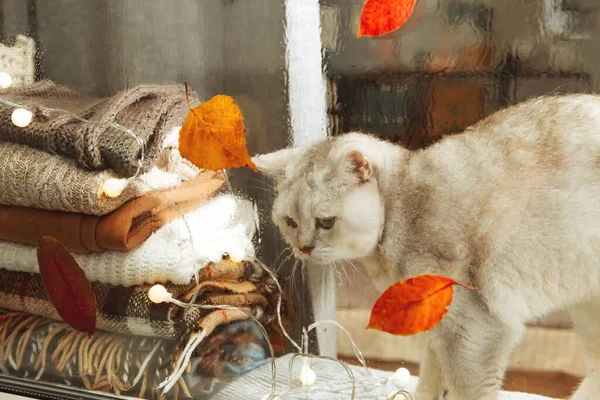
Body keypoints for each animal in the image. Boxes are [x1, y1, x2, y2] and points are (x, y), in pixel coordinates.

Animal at [251, 94, 600, 400]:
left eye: (326, 222)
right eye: (290, 222)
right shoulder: (439, 331)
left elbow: (465, 391)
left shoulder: (475, 334)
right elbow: (430, 381)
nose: (304, 248)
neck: (401, 208)